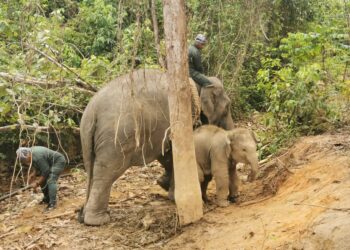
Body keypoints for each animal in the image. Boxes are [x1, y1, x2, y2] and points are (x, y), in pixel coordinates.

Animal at [79, 68, 232, 225]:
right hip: (115, 141)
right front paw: (173, 194)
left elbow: (167, 154)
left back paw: (85, 216)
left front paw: (163, 185)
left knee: (91, 169)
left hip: (87, 138)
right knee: (106, 174)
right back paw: (98, 220)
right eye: (227, 108)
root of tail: (92, 111)